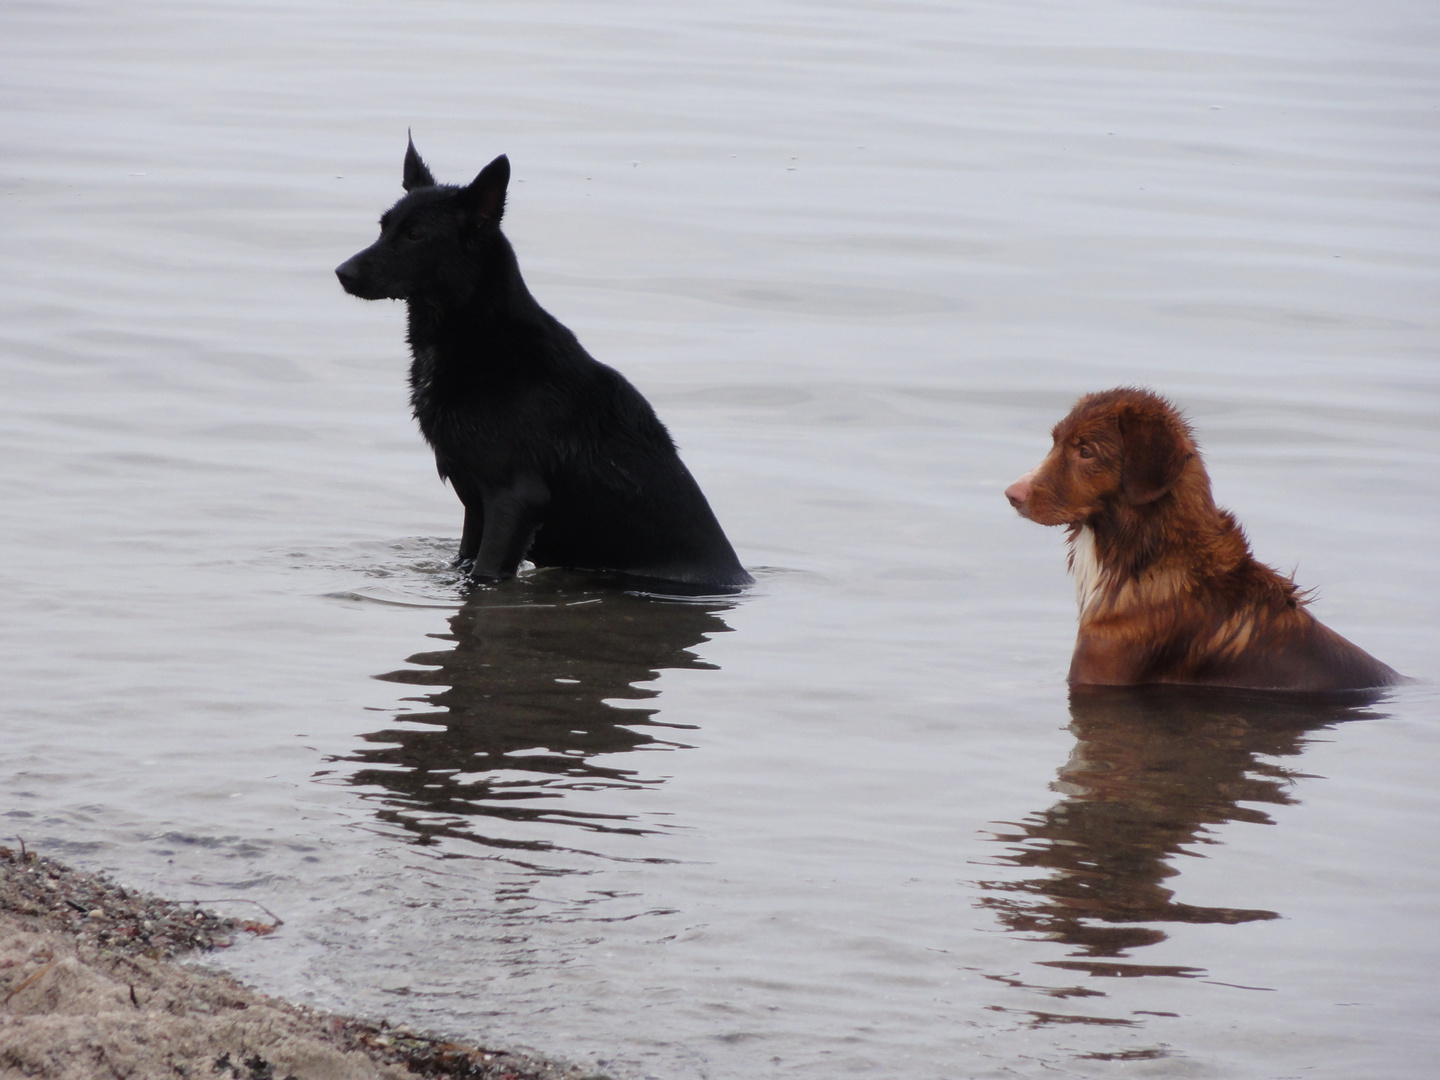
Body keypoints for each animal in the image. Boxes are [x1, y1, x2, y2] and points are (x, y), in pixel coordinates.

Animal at [331, 141, 748, 593]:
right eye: (383, 227)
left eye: (415, 235)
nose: (341, 273)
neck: (481, 335)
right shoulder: (474, 500)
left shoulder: (515, 496)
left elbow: (486, 572)